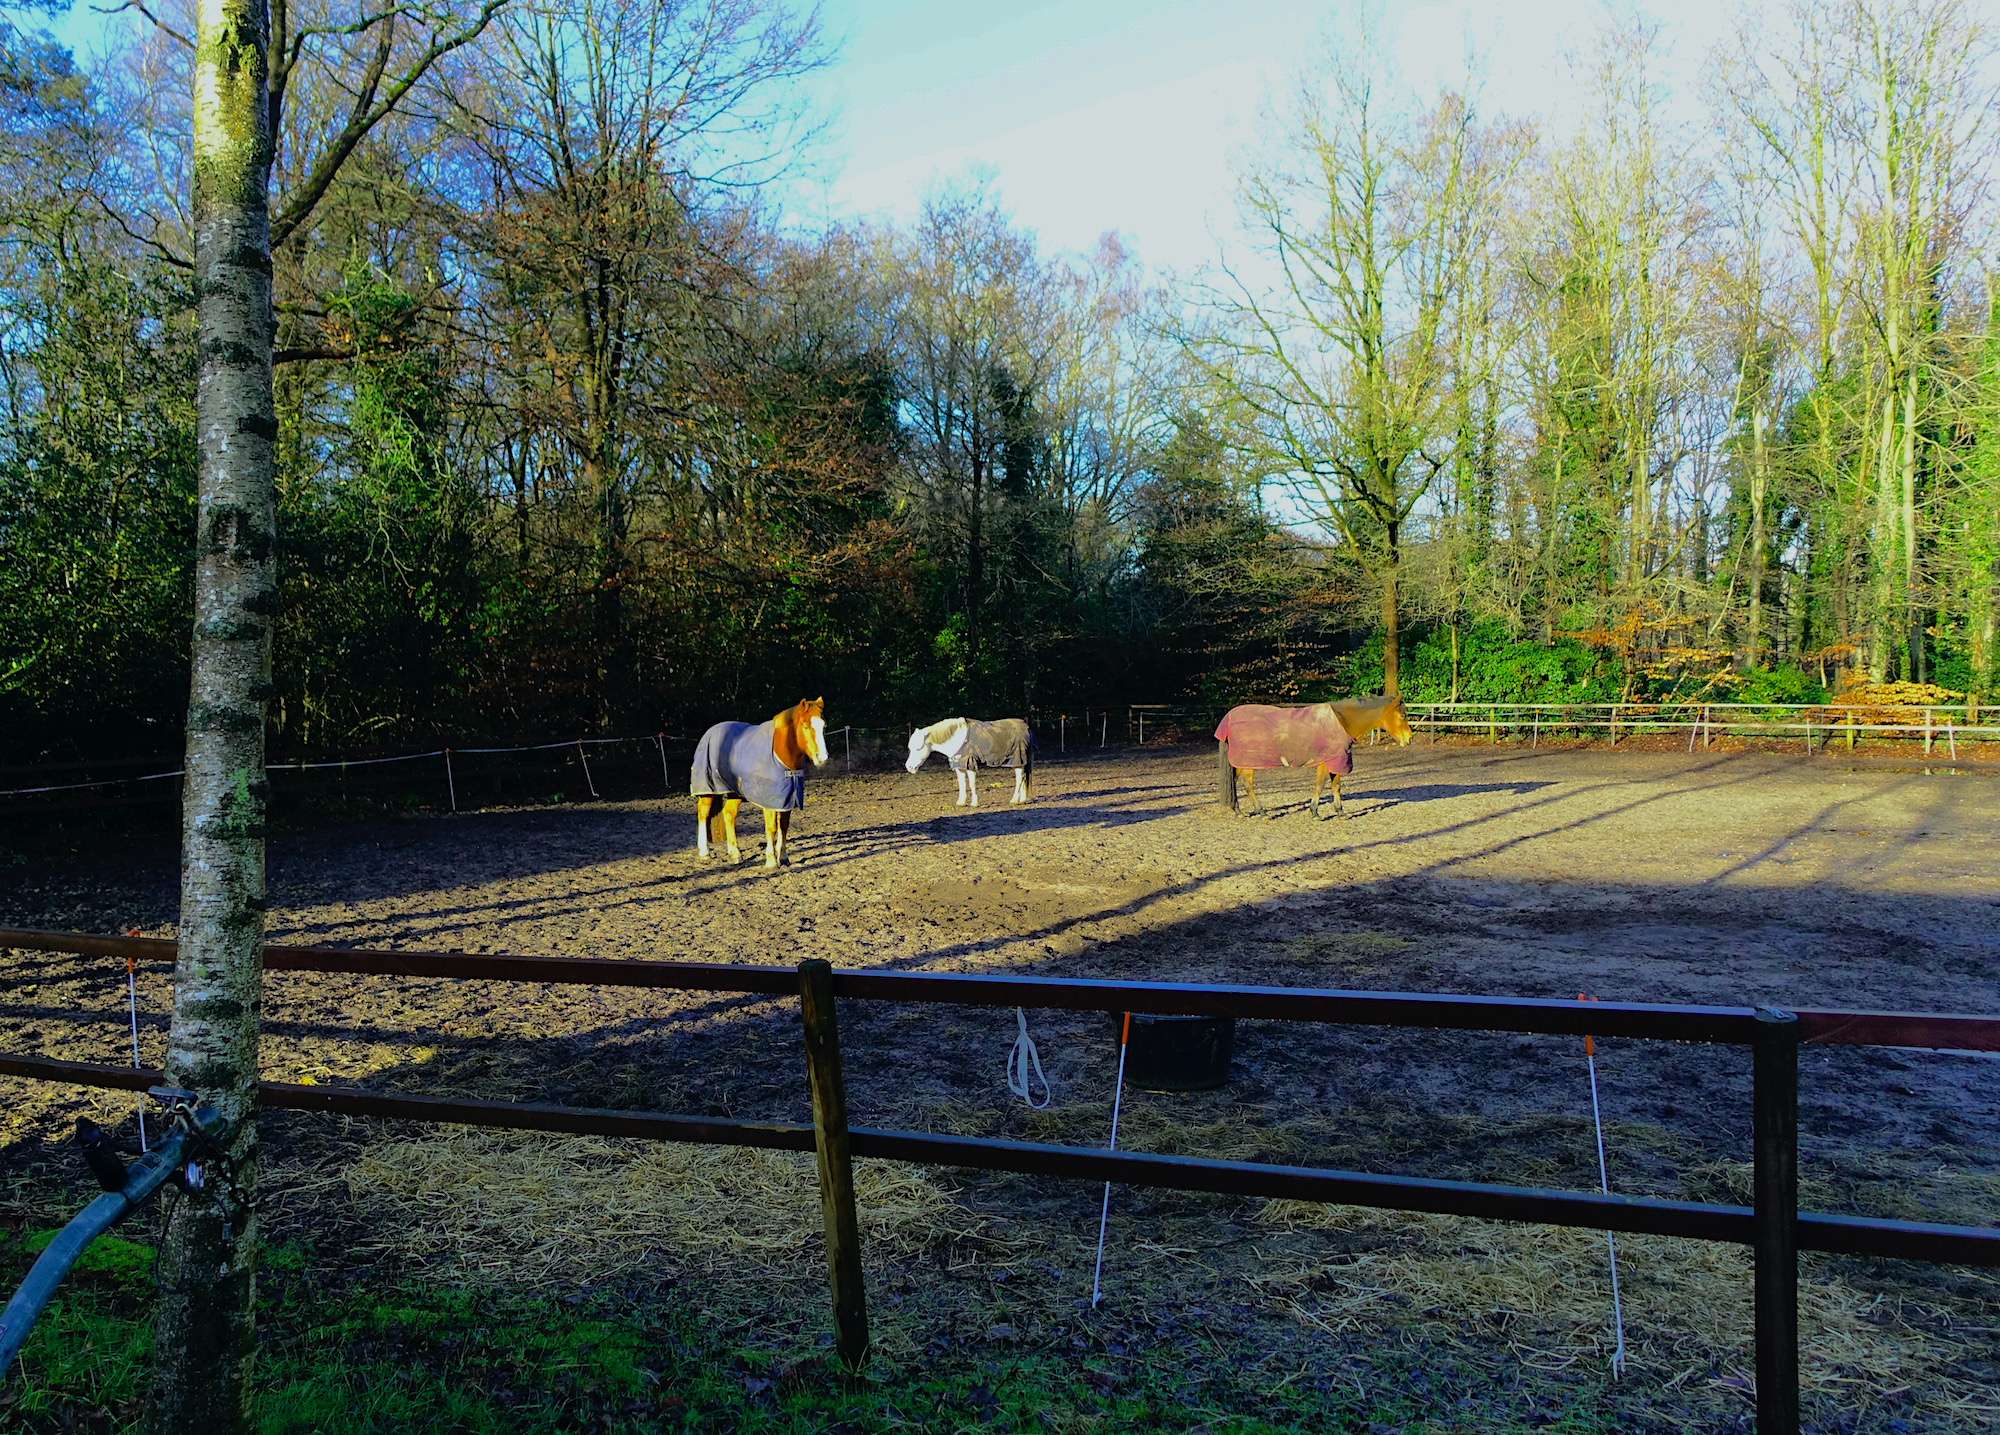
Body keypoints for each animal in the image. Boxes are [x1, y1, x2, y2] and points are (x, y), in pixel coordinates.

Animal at [691, 697, 828, 866]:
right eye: (805, 726)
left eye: (823, 725)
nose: (822, 758)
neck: (780, 753)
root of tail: (709, 732)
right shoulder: (769, 801)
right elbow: (771, 827)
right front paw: (771, 861)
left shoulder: (787, 798)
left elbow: (784, 826)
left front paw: (783, 857)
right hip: (708, 790)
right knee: (702, 813)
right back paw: (704, 852)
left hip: (736, 792)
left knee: (728, 814)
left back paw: (735, 854)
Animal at [905, 717, 1035, 805]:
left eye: (918, 748)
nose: (909, 767)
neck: (957, 738)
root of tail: (1026, 728)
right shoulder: (960, 765)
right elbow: (962, 783)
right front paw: (961, 802)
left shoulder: (969, 764)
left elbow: (971, 783)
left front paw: (974, 803)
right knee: (1023, 778)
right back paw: (1022, 800)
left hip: (1017, 760)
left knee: (1019, 779)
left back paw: (1014, 800)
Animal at [1216, 695, 1412, 818]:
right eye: (1402, 715)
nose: (1409, 738)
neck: (1341, 721)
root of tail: (1229, 718)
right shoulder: (1328, 762)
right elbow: (1320, 785)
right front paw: (1315, 812)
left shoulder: (1335, 761)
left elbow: (1335, 786)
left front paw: (1340, 812)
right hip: (1248, 762)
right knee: (1247, 784)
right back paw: (1261, 812)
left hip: (1240, 762)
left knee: (1235, 782)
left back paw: (1239, 810)